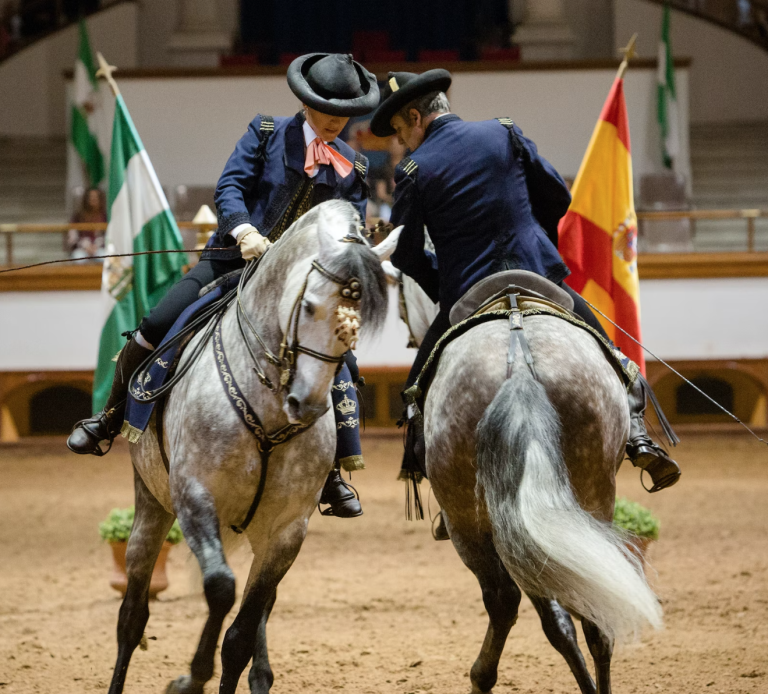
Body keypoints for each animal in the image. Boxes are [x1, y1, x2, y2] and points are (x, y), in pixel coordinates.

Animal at [108, 201, 390, 694]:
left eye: (356, 324)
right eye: (310, 306)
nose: (307, 405)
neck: (268, 409)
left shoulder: (286, 531)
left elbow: (240, 634)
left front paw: (208, 672)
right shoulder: (194, 496)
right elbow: (221, 588)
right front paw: (191, 677)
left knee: (258, 611)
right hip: (151, 504)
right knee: (132, 616)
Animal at [384, 238, 660, 692]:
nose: (407, 335)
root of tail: (519, 370)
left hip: (471, 521)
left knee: (508, 601)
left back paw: (482, 676)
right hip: (586, 499)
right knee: (593, 615)